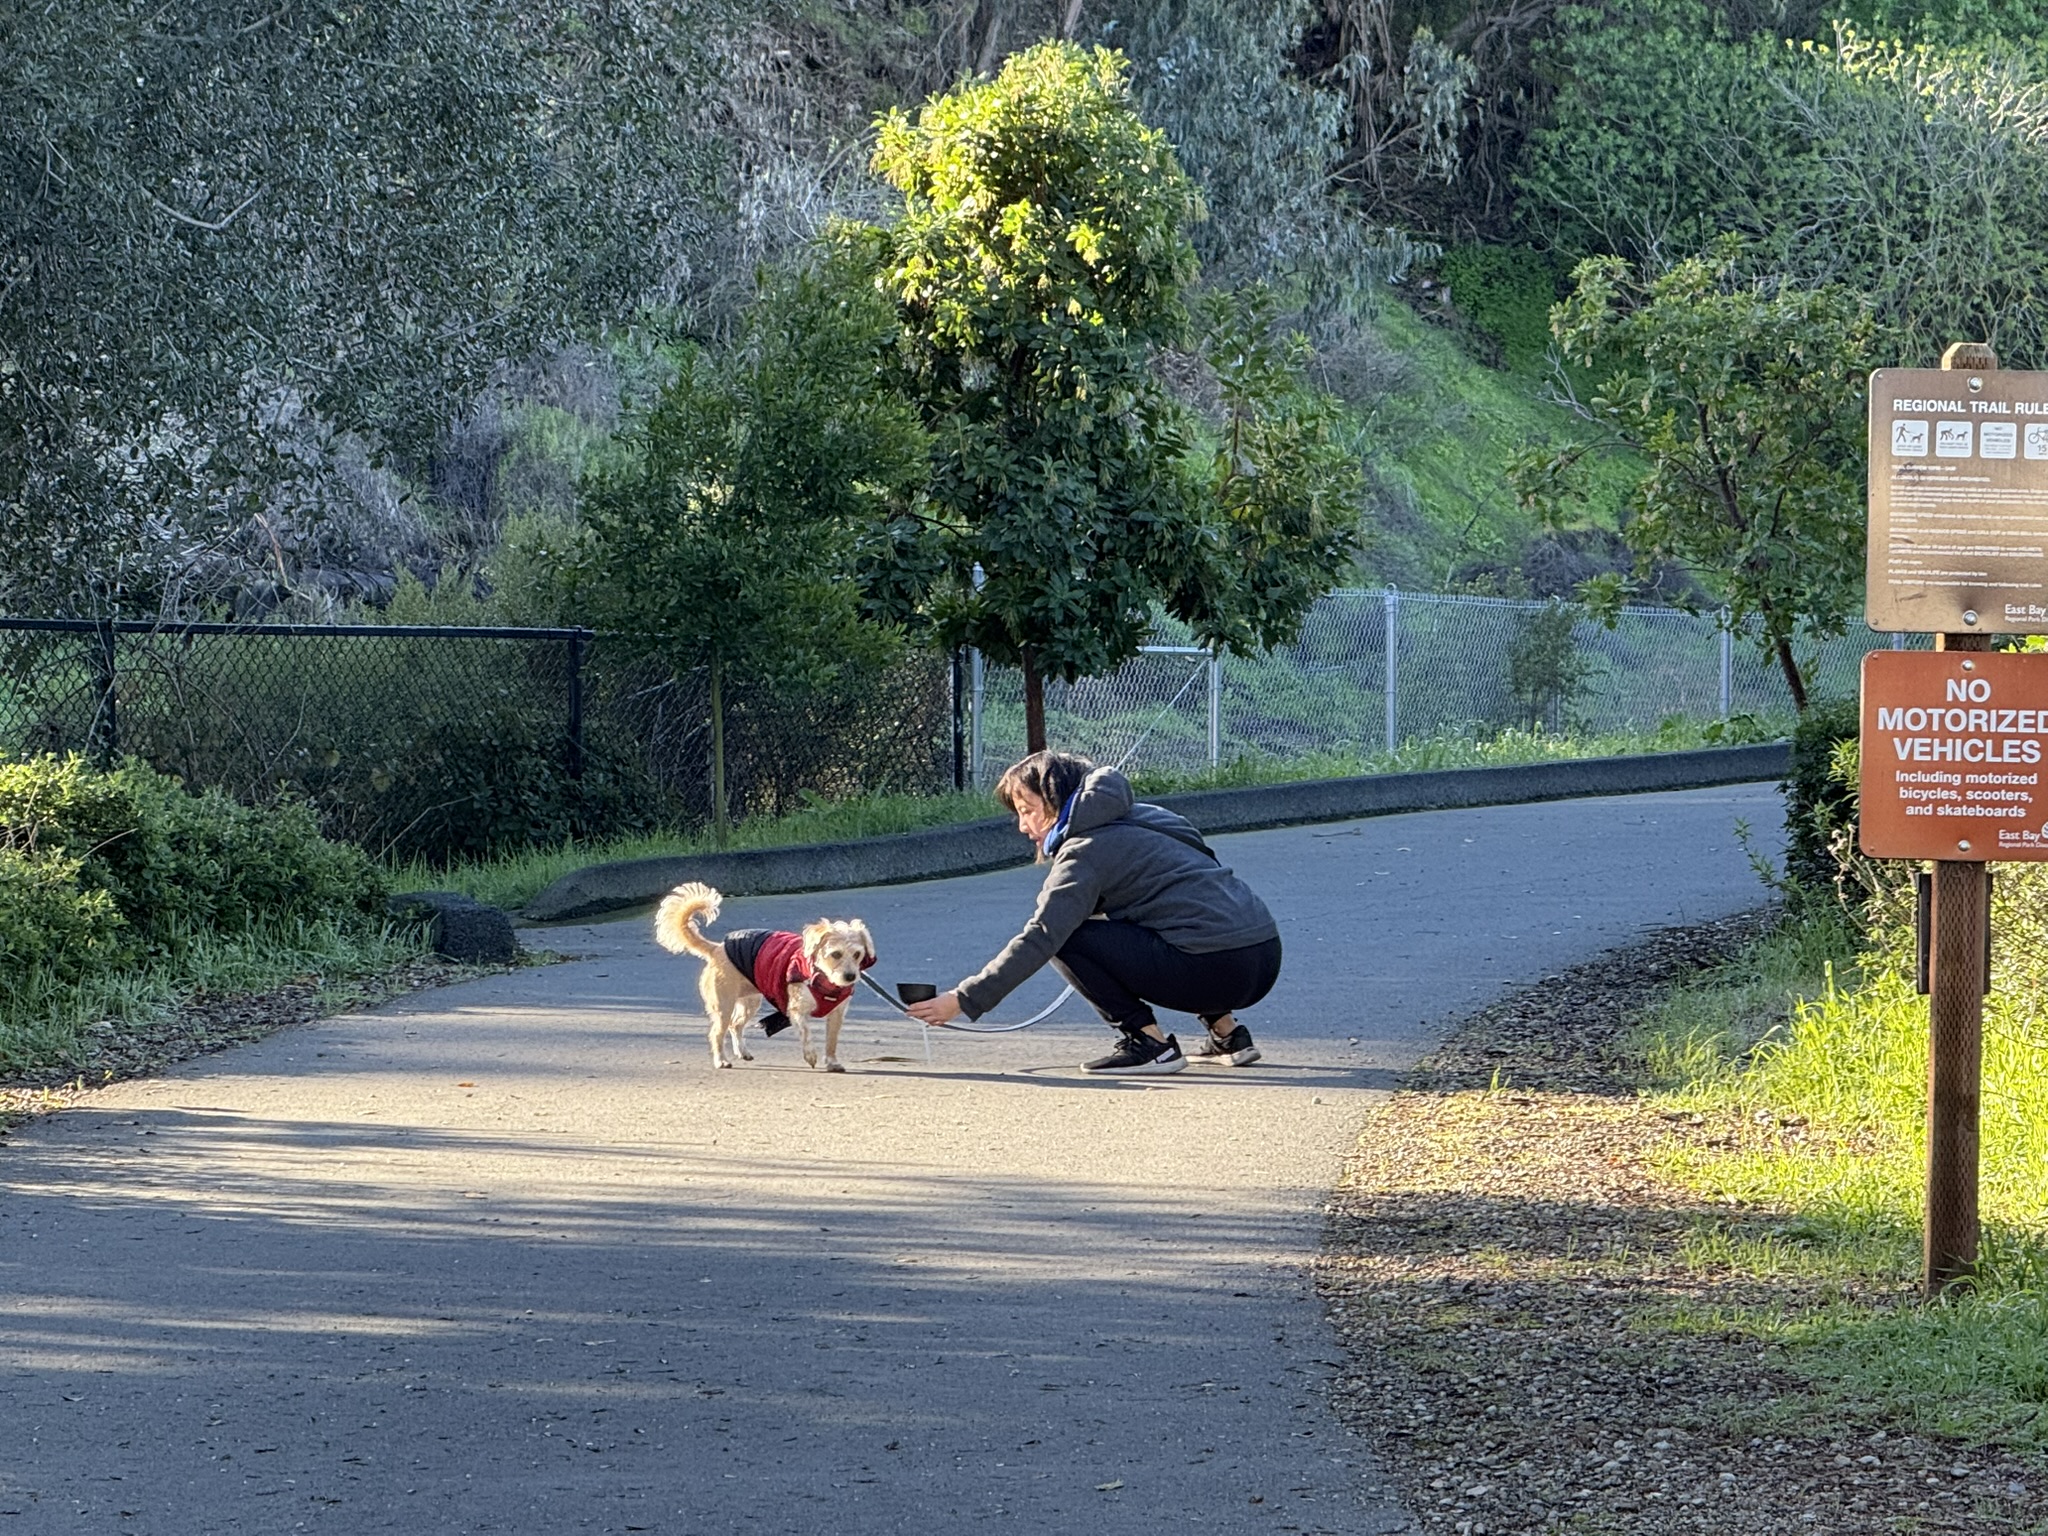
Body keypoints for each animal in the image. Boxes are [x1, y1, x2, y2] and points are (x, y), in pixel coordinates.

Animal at [655, 884, 872, 1073]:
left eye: (857, 955)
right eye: (835, 954)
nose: (850, 976)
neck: (822, 978)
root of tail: (717, 949)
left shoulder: (837, 1015)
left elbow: (832, 1042)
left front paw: (832, 1062)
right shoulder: (796, 1011)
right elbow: (806, 1033)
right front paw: (810, 1055)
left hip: (750, 1003)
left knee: (735, 1025)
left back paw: (742, 1052)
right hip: (724, 1007)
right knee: (717, 1033)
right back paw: (721, 1060)